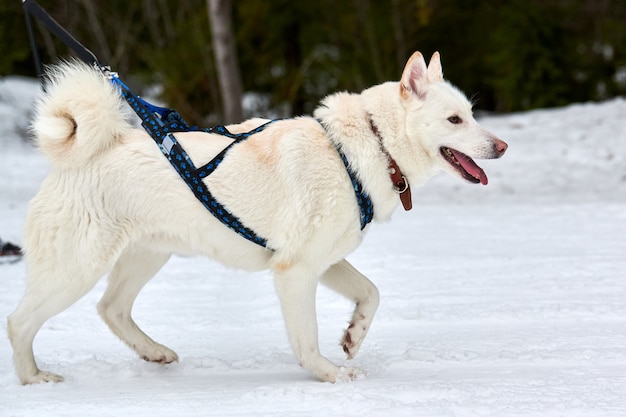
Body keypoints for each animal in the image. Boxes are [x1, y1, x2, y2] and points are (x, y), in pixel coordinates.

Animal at [7, 52, 508, 384]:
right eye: (455, 119)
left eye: (471, 114)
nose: (501, 146)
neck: (366, 146)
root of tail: (80, 156)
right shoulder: (295, 271)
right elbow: (306, 340)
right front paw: (330, 373)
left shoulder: (324, 261)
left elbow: (372, 293)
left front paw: (353, 337)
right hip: (76, 269)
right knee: (19, 322)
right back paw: (35, 379)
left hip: (147, 256)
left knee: (110, 309)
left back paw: (154, 353)